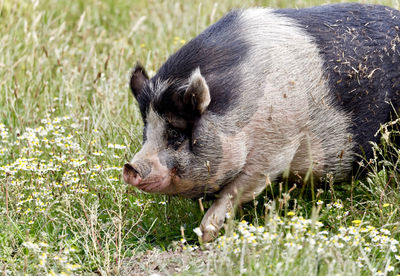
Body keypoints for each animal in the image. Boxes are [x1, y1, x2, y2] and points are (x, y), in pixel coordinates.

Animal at [123, 3, 400, 243]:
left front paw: (204, 236)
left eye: (176, 134)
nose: (130, 168)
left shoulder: (274, 150)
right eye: (146, 133)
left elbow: (233, 192)